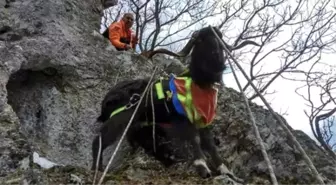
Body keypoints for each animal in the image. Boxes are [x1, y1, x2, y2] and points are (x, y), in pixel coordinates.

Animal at [90, 26, 256, 179]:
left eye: (219, 39)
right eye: (200, 40)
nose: (219, 64)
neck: (197, 83)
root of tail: (107, 98)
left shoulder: (203, 120)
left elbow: (210, 144)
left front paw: (225, 170)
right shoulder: (182, 117)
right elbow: (195, 139)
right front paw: (202, 167)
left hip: (136, 124)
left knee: (135, 140)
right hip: (120, 117)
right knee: (99, 140)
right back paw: (97, 169)